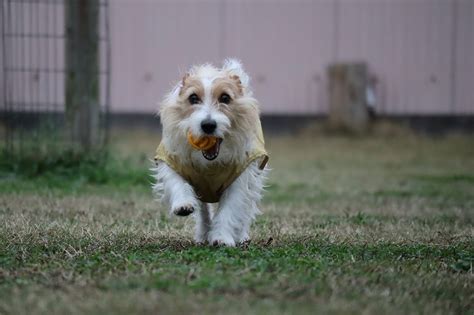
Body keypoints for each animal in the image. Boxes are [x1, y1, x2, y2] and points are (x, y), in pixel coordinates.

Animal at [153, 58, 268, 247]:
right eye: (193, 98)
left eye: (225, 98)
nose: (208, 125)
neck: (210, 164)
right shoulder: (170, 159)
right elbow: (176, 181)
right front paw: (183, 204)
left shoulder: (240, 177)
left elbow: (230, 209)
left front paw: (222, 237)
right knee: (203, 210)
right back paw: (203, 232)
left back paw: (241, 235)